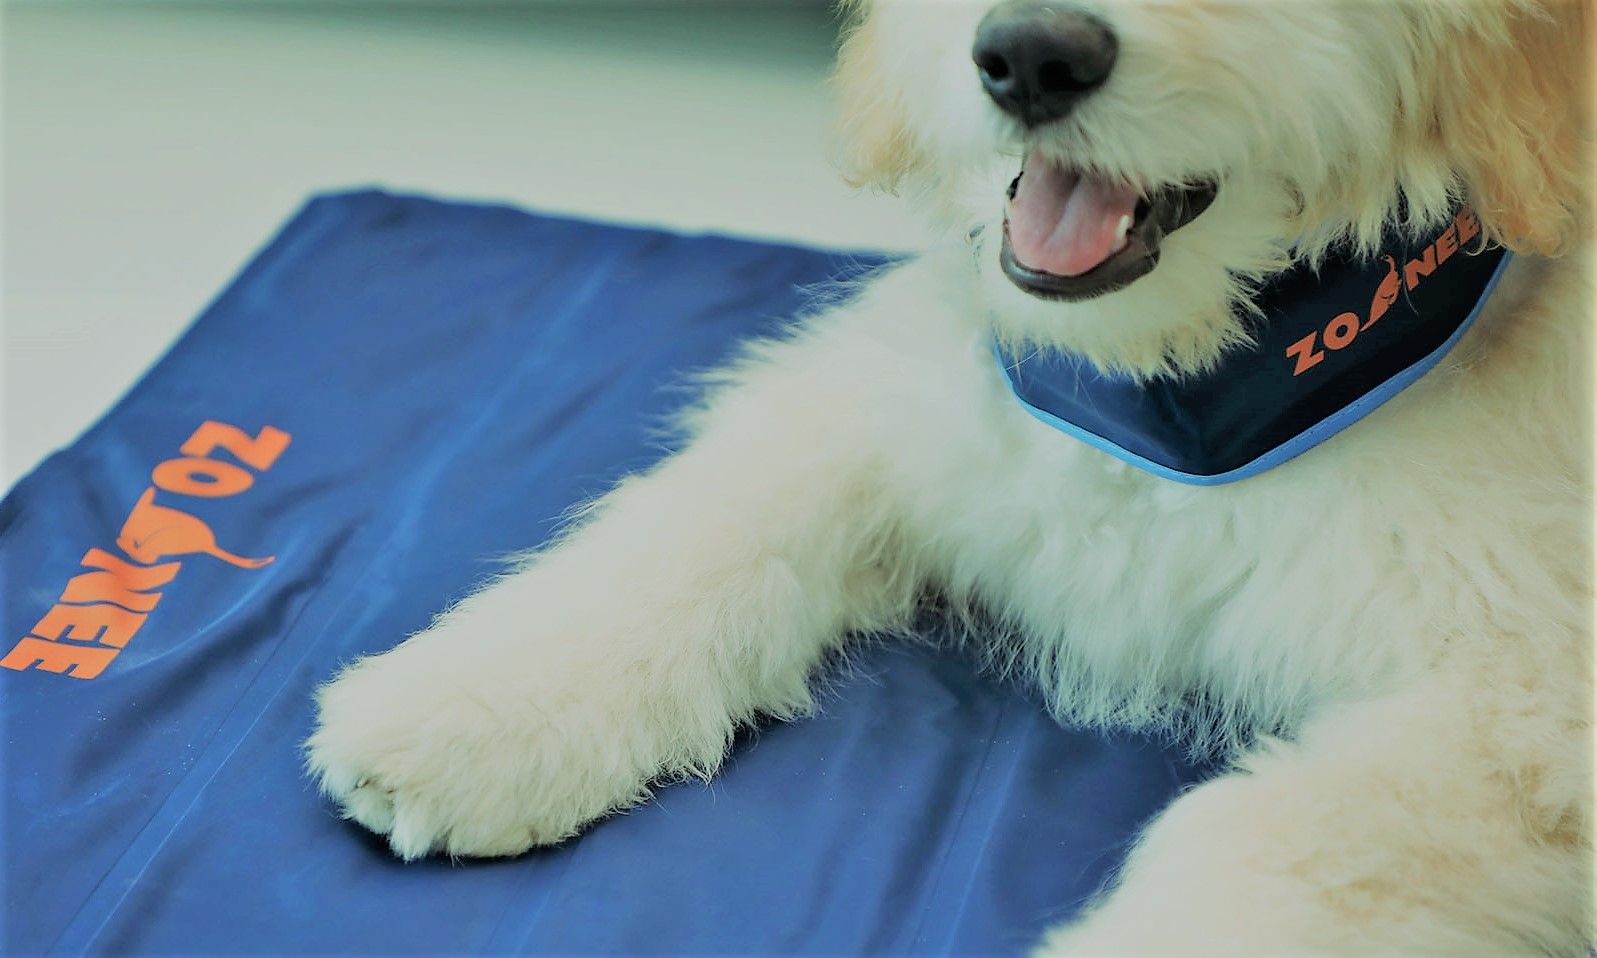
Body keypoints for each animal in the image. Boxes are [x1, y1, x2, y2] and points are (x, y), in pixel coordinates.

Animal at [305, 1, 1590, 951]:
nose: (1031, 53)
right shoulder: (901, 402)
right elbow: (696, 526)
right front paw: (474, 704)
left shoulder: (1532, 709)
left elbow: (1275, 845)